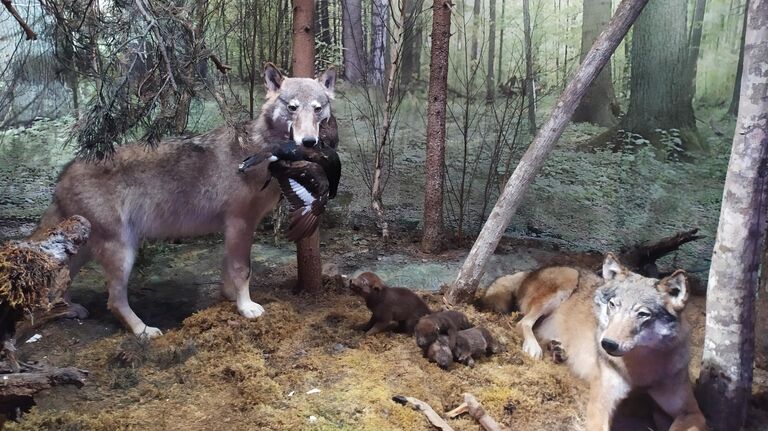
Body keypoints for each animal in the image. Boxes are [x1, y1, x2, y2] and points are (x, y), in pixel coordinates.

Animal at [33, 63, 338, 338]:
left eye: (317, 108)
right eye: (292, 108)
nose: (309, 142)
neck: (264, 150)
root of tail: (63, 175)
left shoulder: (232, 228)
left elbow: (228, 268)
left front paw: (229, 297)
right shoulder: (241, 223)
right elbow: (243, 270)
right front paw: (246, 308)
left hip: (83, 249)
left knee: (61, 283)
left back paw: (69, 309)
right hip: (122, 250)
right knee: (114, 301)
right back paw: (143, 330)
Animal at [486, 255, 708, 431]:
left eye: (643, 314)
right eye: (613, 305)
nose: (607, 344)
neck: (639, 371)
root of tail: (532, 271)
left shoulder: (692, 411)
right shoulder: (601, 404)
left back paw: (557, 350)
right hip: (568, 279)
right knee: (523, 323)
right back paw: (534, 348)